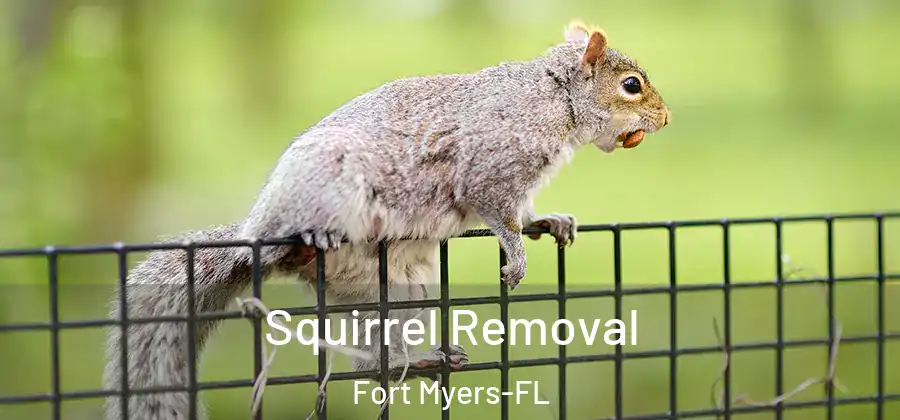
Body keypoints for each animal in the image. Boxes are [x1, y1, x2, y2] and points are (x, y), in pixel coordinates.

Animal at [102, 20, 670, 420]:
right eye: (631, 85)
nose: (665, 120)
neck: (554, 98)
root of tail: (252, 236)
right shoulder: (489, 168)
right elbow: (498, 214)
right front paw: (516, 257)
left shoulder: (519, 183)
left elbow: (524, 211)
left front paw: (549, 222)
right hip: (325, 187)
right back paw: (309, 239)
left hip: (399, 291)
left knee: (373, 365)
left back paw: (415, 361)